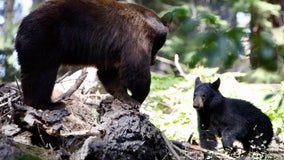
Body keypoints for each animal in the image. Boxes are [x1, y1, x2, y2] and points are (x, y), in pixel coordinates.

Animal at [16, 0, 171, 109]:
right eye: (157, 46)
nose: (153, 61)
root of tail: (20, 28)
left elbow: (109, 73)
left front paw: (124, 96)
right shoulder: (135, 36)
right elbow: (136, 70)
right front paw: (137, 99)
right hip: (44, 38)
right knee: (41, 72)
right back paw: (47, 104)